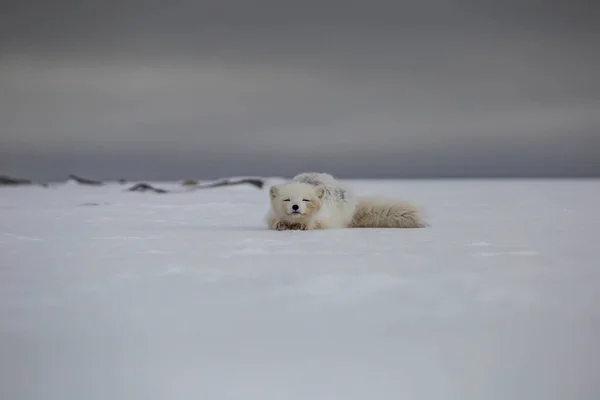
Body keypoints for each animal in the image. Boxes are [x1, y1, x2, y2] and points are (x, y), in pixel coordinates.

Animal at [266, 173, 426, 231]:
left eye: (305, 199)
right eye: (287, 199)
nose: (295, 206)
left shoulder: (327, 218)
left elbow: (317, 223)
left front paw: (302, 226)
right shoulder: (271, 216)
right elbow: (274, 222)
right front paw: (281, 225)